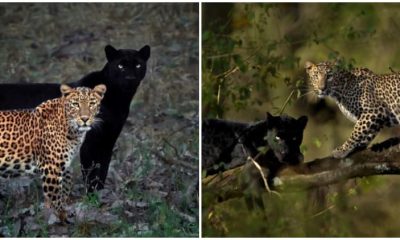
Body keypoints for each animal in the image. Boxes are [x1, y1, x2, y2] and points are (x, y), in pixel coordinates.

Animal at [0, 83, 106, 222]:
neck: (73, 131)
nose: (84, 119)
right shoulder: (51, 168)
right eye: (75, 104)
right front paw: (63, 218)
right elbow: (56, 197)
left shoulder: (64, 165)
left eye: (92, 103)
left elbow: (65, 186)